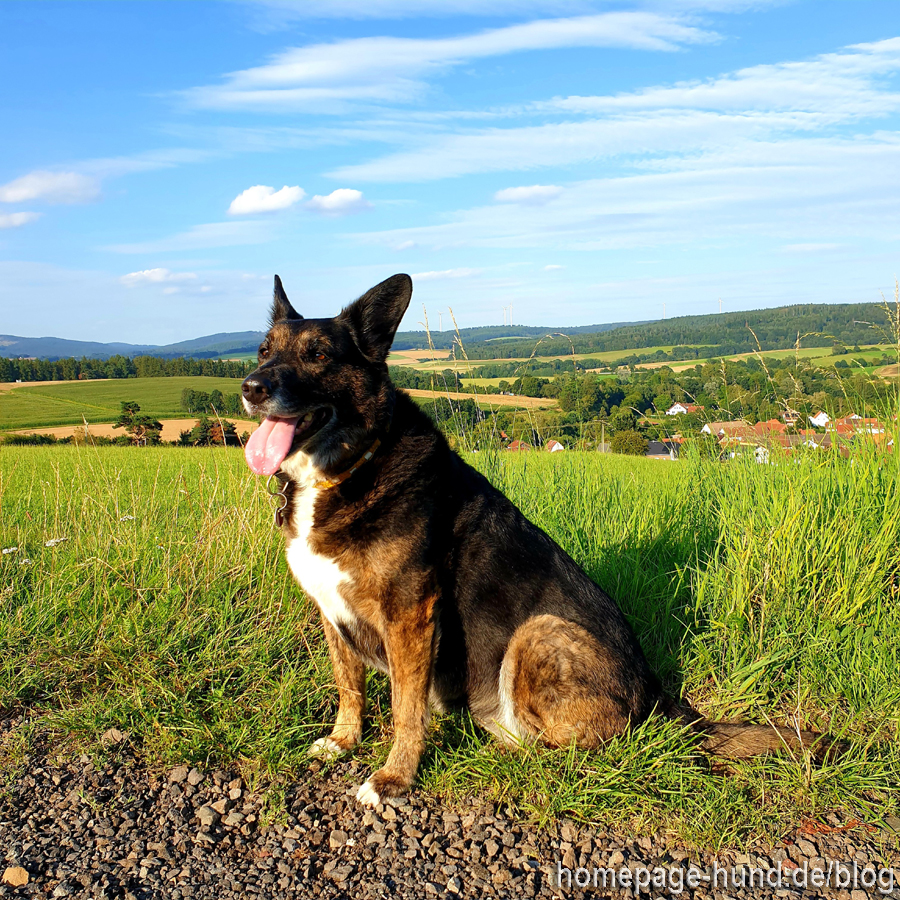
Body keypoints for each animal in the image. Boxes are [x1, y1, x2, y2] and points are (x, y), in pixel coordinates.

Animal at [241, 270, 836, 804]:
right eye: (263, 351)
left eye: (320, 355)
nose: (251, 388)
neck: (350, 465)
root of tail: (656, 696)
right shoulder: (331, 610)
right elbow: (351, 687)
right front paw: (344, 741)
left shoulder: (411, 614)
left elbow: (405, 709)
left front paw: (393, 778)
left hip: (537, 632)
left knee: (580, 753)